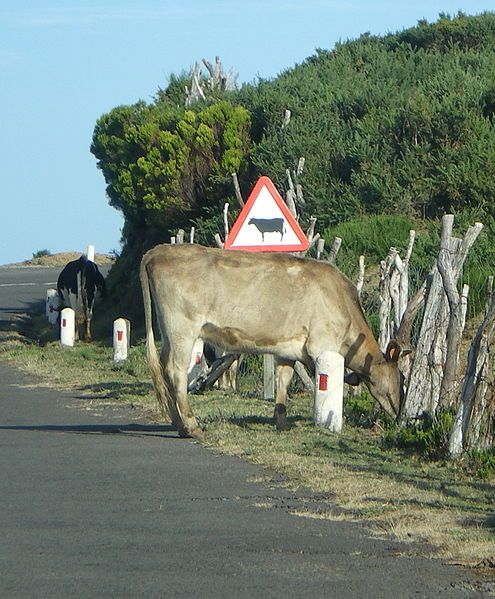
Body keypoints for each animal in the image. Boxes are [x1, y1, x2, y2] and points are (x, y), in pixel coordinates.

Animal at [140, 245, 404, 440]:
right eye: (401, 378)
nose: (399, 413)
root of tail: (157, 251)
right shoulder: (321, 345)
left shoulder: (287, 349)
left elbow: (283, 382)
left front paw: (281, 420)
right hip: (182, 329)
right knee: (176, 372)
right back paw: (192, 426)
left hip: (168, 331)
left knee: (163, 369)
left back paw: (178, 423)